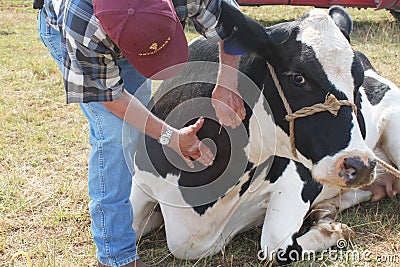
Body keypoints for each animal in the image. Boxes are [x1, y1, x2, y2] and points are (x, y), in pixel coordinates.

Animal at [130, 4, 398, 266]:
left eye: (357, 82)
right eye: (298, 77)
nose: (360, 165)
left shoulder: (299, 180)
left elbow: (274, 246)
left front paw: (332, 231)